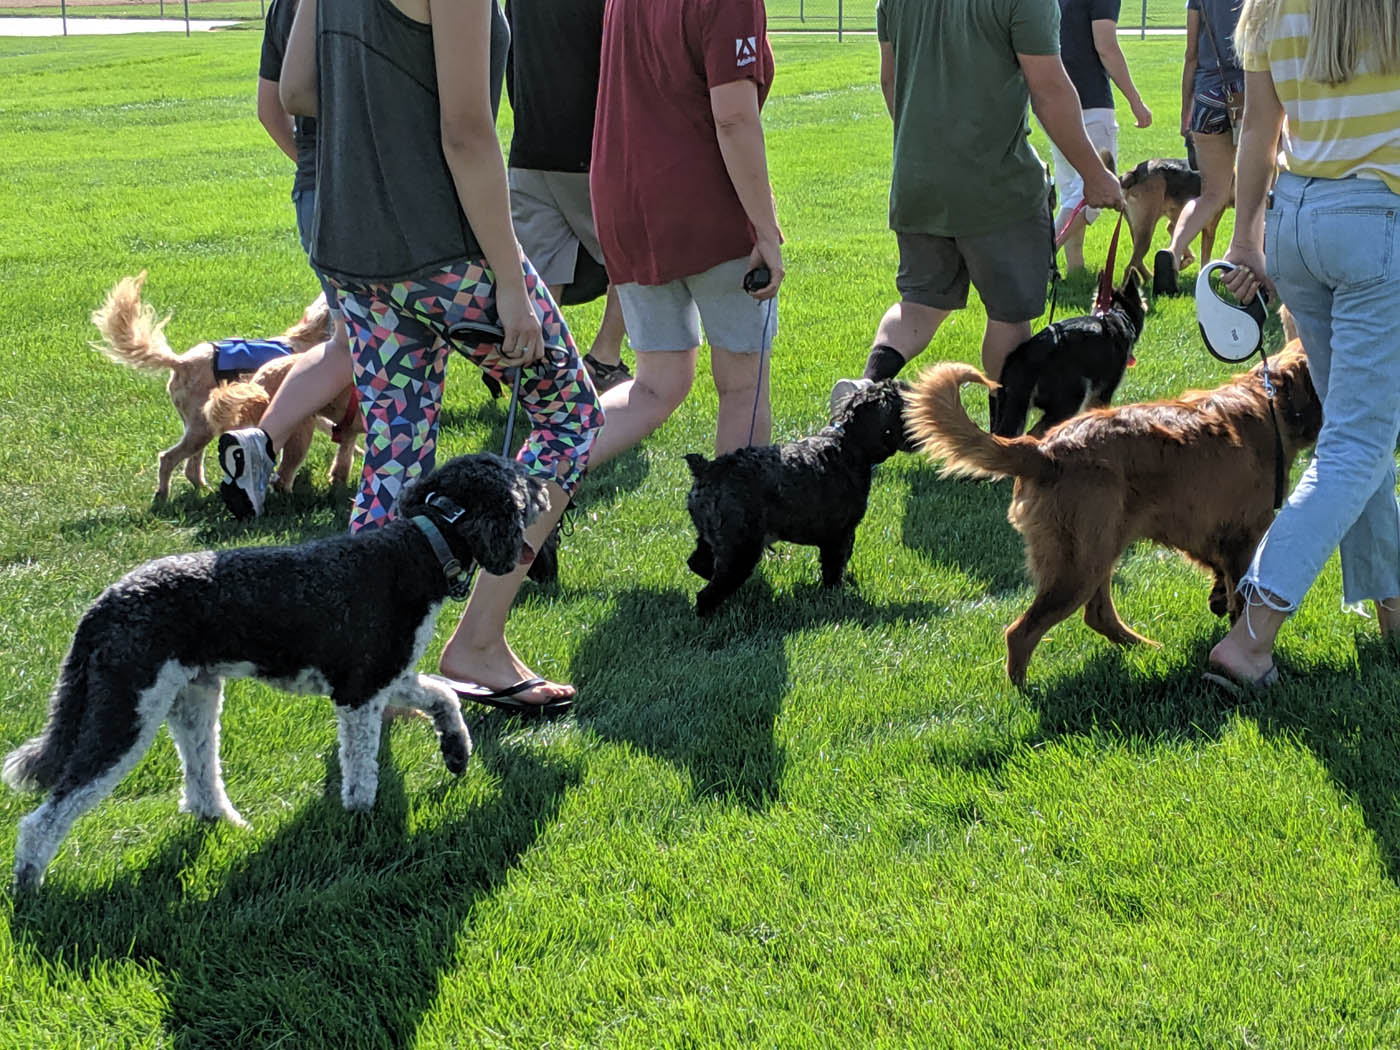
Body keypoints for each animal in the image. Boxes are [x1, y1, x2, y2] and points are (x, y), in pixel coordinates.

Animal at [2, 456, 548, 890]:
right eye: (521, 481)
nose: (546, 485)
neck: (419, 547)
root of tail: (103, 604)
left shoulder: (385, 677)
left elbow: (444, 696)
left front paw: (456, 751)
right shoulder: (360, 694)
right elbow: (361, 772)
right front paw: (361, 824)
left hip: (194, 699)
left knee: (200, 782)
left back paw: (225, 823)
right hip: (125, 711)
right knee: (48, 814)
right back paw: (29, 886)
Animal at [93, 271, 333, 501]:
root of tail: (181, 362)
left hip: (198, 425)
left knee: (191, 468)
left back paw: (202, 489)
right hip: (202, 428)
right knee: (168, 458)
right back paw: (163, 495)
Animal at [680, 378, 918, 616]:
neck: (846, 445)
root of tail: (707, 470)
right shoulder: (839, 535)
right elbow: (834, 568)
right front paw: (835, 594)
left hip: (714, 537)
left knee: (697, 563)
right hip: (741, 547)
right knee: (708, 593)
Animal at [907, 350, 1321, 686]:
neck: (1271, 401)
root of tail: (1042, 451)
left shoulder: (1212, 532)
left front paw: (1217, 599)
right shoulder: (1244, 537)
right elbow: (1243, 600)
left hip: (1099, 549)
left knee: (1098, 615)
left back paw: (1144, 647)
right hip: (1078, 565)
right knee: (1021, 632)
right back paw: (1026, 694)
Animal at [985, 271, 1148, 439]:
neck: (1117, 314)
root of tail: (1029, 355)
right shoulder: (1103, 393)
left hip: (1007, 402)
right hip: (1072, 398)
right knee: (1035, 433)